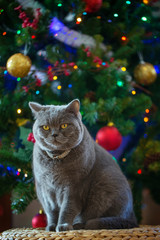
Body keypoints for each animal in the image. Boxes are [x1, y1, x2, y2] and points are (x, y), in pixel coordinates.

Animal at [29, 98, 138, 232]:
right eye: (45, 127)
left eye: (64, 125)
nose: (54, 134)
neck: (56, 161)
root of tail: (133, 216)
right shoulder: (45, 189)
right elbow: (51, 211)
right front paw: (51, 227)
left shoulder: (74, 186)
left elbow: (67, 208)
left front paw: (63, 226)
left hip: (106, 181)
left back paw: (78, 225)